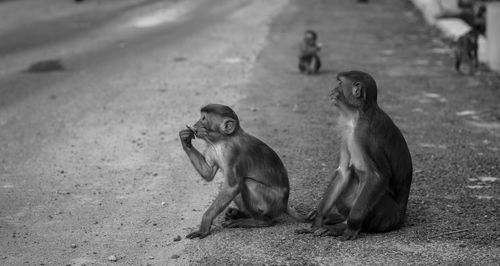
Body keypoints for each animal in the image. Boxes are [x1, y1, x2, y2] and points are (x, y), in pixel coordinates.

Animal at [180, 104, 304, 239]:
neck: (223, 140)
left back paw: (260, 221)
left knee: (247, 183)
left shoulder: (233, 153)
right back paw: (242, 214)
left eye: (203, 118)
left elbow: (232, 187)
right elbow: (208, 173)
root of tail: (285, 204)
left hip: (274, 203)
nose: (195, 124)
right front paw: (185, 138)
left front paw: (205, 224)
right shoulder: (211, 148)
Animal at [294, 70, 412, 241]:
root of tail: (401, 217)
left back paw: (340, 226)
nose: (332, 90)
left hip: (390, 217)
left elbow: (378, 176)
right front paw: (317, 221)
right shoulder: (346, 132)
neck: (357, 115)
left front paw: (350, 227)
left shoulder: (365, 134)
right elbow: (343, 172)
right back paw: (334, 219)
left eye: (339, 83)